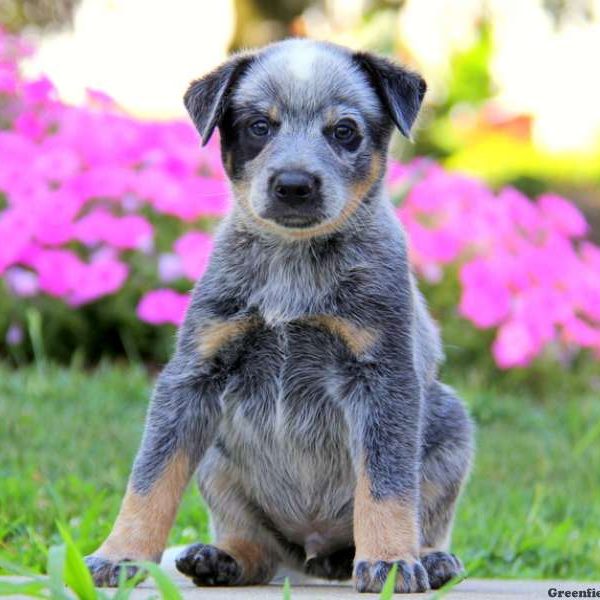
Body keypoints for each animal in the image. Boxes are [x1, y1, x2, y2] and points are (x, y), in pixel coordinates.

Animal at [86, 38, 476, 596]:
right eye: (259, 126)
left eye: (344, 130)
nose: (294, 183)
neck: (293, 264)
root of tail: (315, 555)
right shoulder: (193, 376)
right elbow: (151, 477)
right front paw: (121, 555)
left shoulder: (384, 378)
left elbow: (386, 486)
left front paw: (390, 562)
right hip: (218, 459)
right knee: (260, 550)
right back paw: (221, 558)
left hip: (451, 422)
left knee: (425, 517)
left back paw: (430, 558)